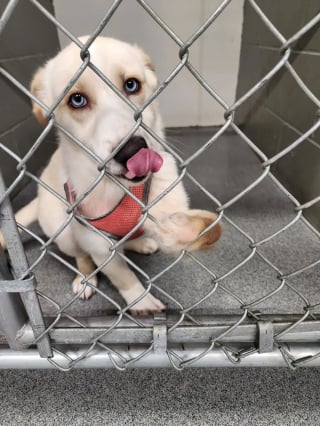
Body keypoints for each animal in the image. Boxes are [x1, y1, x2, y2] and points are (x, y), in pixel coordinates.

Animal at [10, 36, 221, 314]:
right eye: (77, 100)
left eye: (131, 84)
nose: (132, 150)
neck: (119, 189)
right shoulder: (98, 245)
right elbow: (123, 276)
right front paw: (141, 302)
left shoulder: (163, 199)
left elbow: (172, 223)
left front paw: (189, 229)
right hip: (63, 232)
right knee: (82, 257)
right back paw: (85, 279)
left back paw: (141, 243)